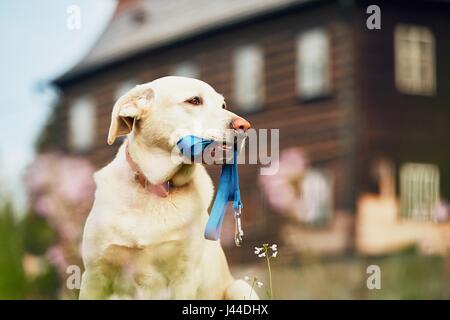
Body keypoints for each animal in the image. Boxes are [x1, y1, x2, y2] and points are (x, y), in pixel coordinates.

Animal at [79, 76, 256, 298]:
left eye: (223, 105)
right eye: (194, 100)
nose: (245, 126)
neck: (157, 186)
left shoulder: (185, 276)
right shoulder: (94, 275)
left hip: (239, 286)